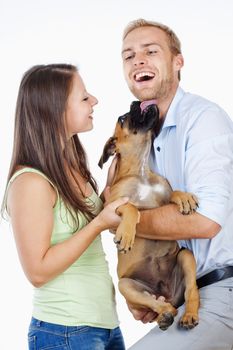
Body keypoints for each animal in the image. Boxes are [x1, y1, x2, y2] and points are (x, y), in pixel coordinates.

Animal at [97, 102, 199, 330]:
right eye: (122, 119)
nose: (136, 103)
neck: (141, 170)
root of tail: (166, 294)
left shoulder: (162, 196)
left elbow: (171, 193)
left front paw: (184, 197)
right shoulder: (111, 206)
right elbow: (131, 208)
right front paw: (126, 235)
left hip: (185, 256)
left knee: (191, 291)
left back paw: (188, 315)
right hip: (126, 284)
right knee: (158, 304)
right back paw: (164, 315)